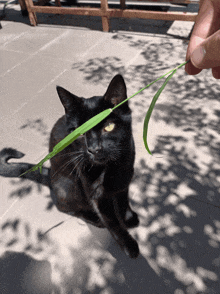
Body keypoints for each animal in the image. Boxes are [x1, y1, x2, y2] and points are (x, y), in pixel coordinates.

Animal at [0, 74, 139, 258]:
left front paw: (129, 218)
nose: (94, 148)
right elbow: (113, 223)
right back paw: (94, 219)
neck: (112, 167)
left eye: (108, 127)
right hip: (68, 186)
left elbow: (123, 202)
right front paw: (129, 246)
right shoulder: (97, 194)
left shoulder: (125, 179)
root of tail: (50, 174)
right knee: (66, 207)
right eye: (79, 131)